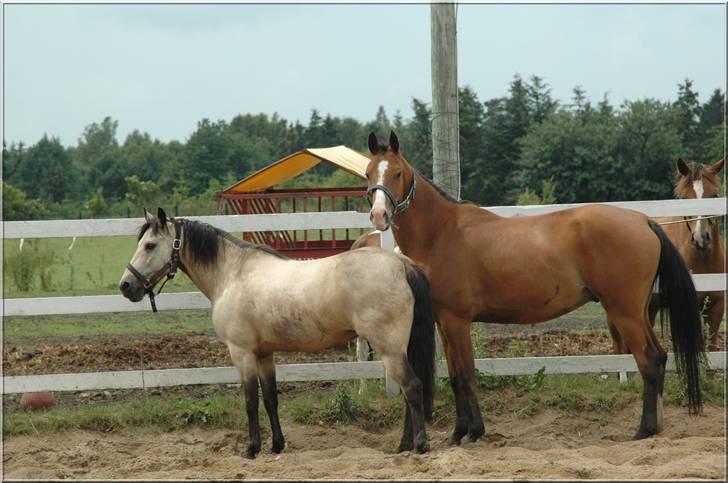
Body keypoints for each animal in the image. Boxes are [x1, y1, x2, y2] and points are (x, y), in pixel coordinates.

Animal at [119, 208, 436, 457]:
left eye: (149, 245)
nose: (125, 286)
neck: (232, 274)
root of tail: (401, 264)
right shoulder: (264, 354)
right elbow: (271, 399)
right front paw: (277, 445)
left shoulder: (242, 353)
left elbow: (250, 401)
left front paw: (251, 449)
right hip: (400, 349)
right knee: (409, 393)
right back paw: (404, 445)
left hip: (390, 350)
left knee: (412, 387)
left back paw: (419, 445)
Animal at [364, 131, 705, 445]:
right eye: (368, 173)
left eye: (397, 173)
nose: (379, 215)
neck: (441, 233)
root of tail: (643, 220)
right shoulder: (444, 322)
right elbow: (456, 376)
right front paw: (458, 433)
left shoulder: (457, 321)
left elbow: (467, 375)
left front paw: (473, 432)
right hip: (638, 311)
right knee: (660, 357)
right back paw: (656, 427)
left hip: (625, 312)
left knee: (648, 361)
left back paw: (643, 430)